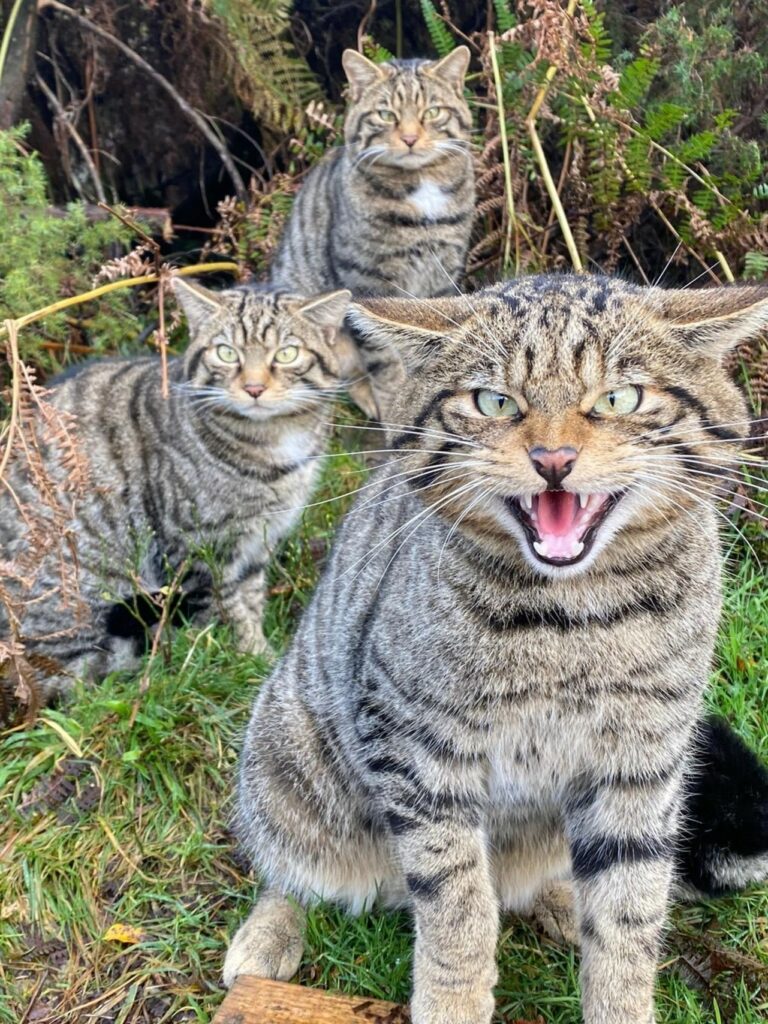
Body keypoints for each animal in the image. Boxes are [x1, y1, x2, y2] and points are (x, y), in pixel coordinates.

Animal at [0, 282, 360, 704]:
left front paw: (259, 653)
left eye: (286, 353)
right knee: (75, 678)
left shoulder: (258, 543)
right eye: (227, 352)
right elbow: (226, 612)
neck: (274, 444)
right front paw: (245, 661)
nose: (254, 388)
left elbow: (251, 601)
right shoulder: (199, 549)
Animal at [225, 274, 765, 1024]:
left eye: (619, 398)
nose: (554, 460)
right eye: (495, 401)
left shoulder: (643, 761)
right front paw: (452, 1002)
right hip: (285, 755)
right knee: (289, 869)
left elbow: (628, 914)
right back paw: (268, 935)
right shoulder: (416, 750)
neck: (571, 619)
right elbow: (457, 907)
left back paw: (561, 901)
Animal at [270, 47, 475, 299]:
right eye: (386, 115)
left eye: (432, 112)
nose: (410, 139)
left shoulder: (445, 272)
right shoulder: (366, 275)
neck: (421, 184)